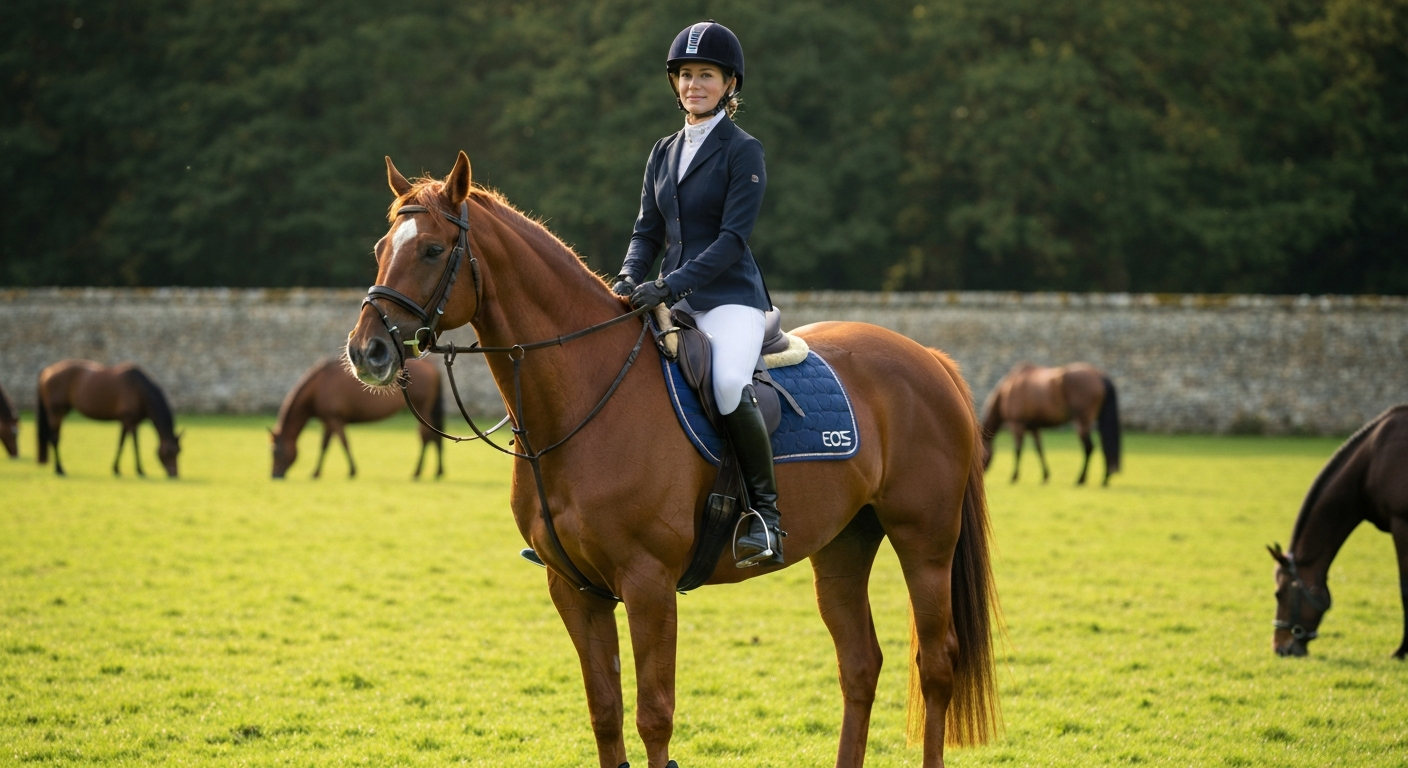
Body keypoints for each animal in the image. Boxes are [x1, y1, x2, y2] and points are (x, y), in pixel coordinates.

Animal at [36, 360, 182, 477]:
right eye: (170, 453)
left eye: (179, 452)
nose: (174, 474)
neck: (140, 390)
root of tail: (47, 370)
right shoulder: (129, 420)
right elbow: (130, 444)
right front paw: (135, 470)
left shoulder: (129, 421)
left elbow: (125, 443)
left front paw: (121, 469)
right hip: (56, 411)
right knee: (54, 438)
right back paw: (59, 469)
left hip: (62, 410)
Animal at [270, 356, 444, 479]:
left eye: (275, 451)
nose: (274, 475)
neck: (318, 387)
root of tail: (431, 366)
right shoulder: (329, 422)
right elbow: (326, 445)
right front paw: (317, 472)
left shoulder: (335, 420)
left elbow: (342, 443)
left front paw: (351, 471)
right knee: (435, 437)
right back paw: (438, 471)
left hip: (421, 409)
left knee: (426, 437)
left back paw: (417, 472)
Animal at [342, 152, 999, 768]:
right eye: (380, 248)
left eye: (432, 249)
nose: (366, 351)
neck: (585, 393)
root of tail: (928, 358)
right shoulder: (573, 588)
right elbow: (605, 713)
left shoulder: (648, 583)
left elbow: (654, 715)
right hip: (844, 545)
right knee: (860, 664)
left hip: (924, 542)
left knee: (936, 665)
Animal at [980, 362, 1121, 486]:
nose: (982, 475)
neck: (1008, 388)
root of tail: (1100, 376)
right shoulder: (1034, 427)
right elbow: (1039, 449)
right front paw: (1045, 476)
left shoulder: (1017, 424)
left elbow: (1018, 450)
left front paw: (1014, 476)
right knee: (1105, 445)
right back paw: (1105, 478)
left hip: (1082, 422)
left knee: (1089, 448)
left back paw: (1081, 479)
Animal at [1267, 404, 1408, 659]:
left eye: (1278, 594)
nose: (1280, 647)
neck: (1371, 461)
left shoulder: (1401, 523)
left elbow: (1405, 589)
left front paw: (1401, 651)